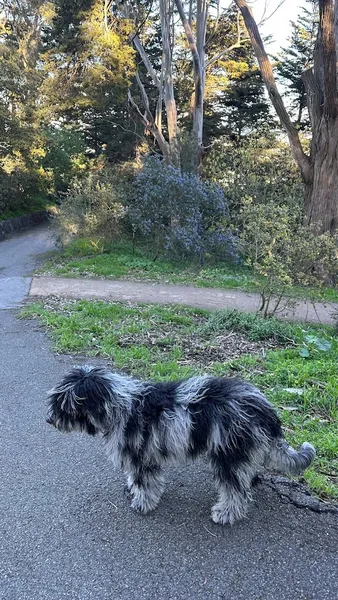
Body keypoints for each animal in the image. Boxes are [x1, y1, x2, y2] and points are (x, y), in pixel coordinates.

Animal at [47, 364, 316, 524]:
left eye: (64, 404)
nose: (49, 420)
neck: (120, 405)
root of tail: (265, 409)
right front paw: (133, 489)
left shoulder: (141, 457)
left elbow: (145, 483)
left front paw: (142, 503)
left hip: (228, 453)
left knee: (235, 491)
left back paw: (226, 513)